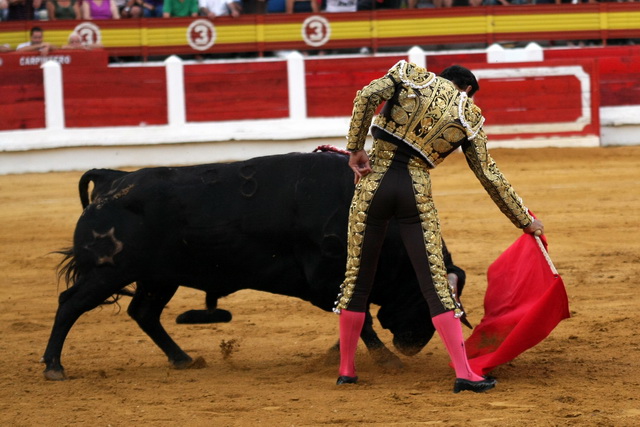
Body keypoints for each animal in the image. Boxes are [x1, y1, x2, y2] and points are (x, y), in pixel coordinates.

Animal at [43, 150, 464, 382]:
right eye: (427, 296)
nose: (415, 343)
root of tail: (112, 180)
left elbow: (355, 320)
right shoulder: (328, 280)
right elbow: (361, 320)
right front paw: (387, 361)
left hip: (159, 277)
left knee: (143, 312)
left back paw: (183, 359)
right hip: (108, 272)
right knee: (69, 305)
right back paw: (53, 366)